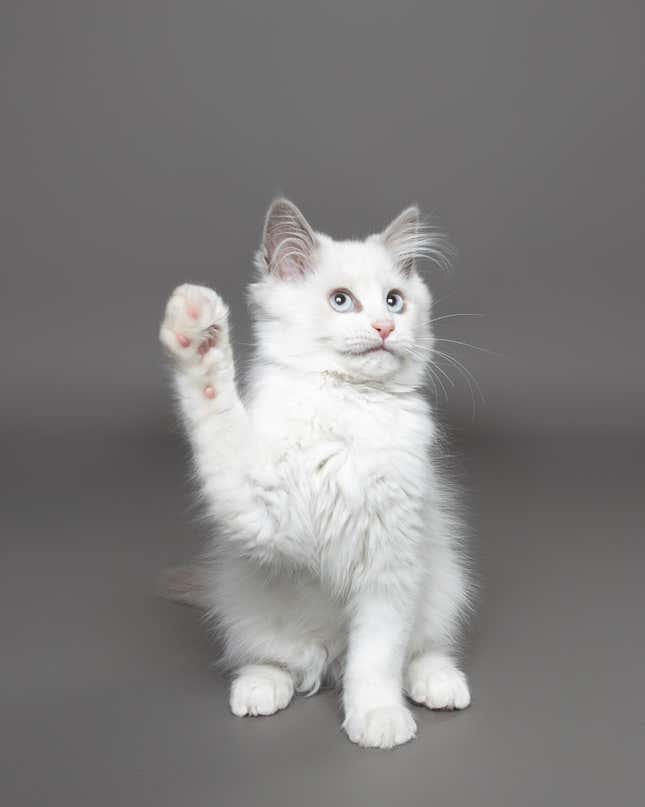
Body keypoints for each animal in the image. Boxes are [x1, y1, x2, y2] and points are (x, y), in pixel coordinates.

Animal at [160, 200, 472, 752]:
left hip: (442, 584)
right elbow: (218, 418)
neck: (348, 405)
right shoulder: (260, 514)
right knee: (274, 661)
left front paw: (377, 717)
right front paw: (197, 335)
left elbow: (376, 659)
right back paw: (259, 689)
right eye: (341, 301)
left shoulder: (391, 562)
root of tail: (328, 655)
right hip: (248, 607)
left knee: (419, 650)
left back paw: (440, 683)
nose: (384, 328)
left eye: (394, 301)